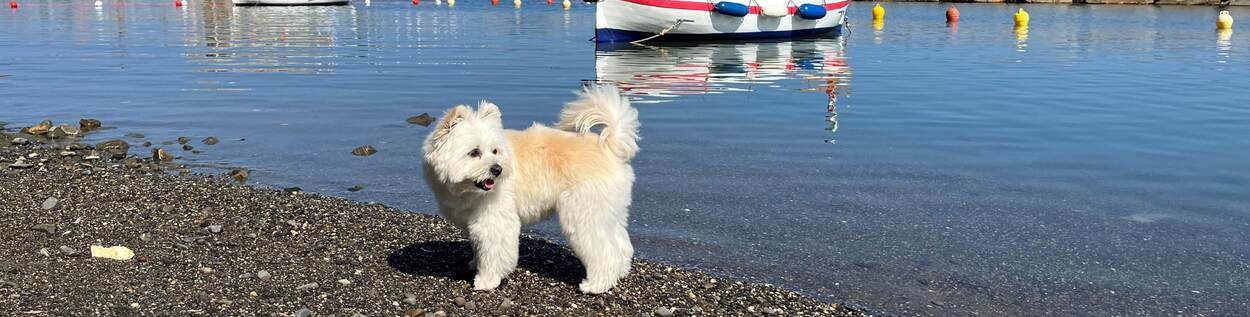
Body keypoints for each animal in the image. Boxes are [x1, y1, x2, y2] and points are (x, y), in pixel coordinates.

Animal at [422, 85, 640, 293]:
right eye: (474, 152)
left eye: (495, 151)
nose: (497, 169)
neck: (465, 189)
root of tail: (609, 146)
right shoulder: (474, 222)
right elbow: (479, 248)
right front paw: (475, 264)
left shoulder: (495, 222)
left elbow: (493, 254)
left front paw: (486, 280)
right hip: (609, 213)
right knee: (621, 245)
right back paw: (619, 273)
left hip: (584, 215)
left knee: (605, 253)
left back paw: (596, 285)